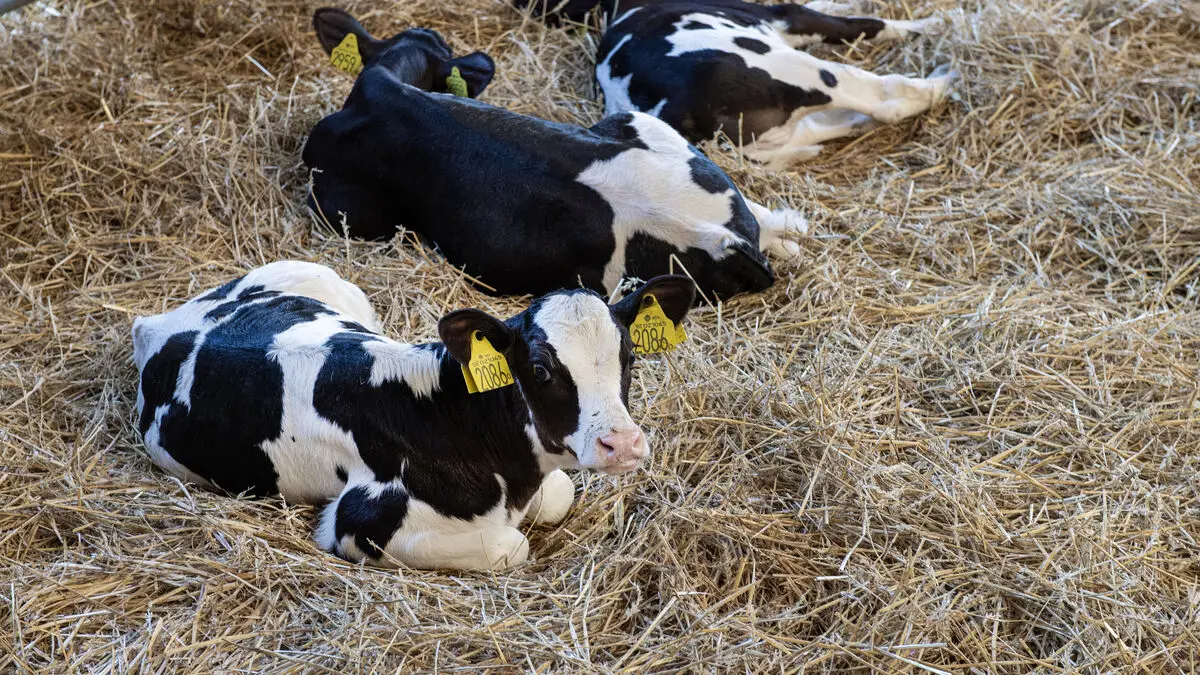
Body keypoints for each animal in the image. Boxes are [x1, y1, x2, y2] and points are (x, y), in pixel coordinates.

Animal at [132, 261, 697, 570]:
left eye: (629, 356)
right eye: (539, 368)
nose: (623, 444)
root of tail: (157, 322)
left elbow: (558, 496)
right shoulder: (360, 521)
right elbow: (512, 546)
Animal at [516, 0, 956, 169]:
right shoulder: (786, 13)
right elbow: (865, 24)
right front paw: (935, 23)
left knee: (828, 124)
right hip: (788, 67)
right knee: (880, 97)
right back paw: (944, 79)